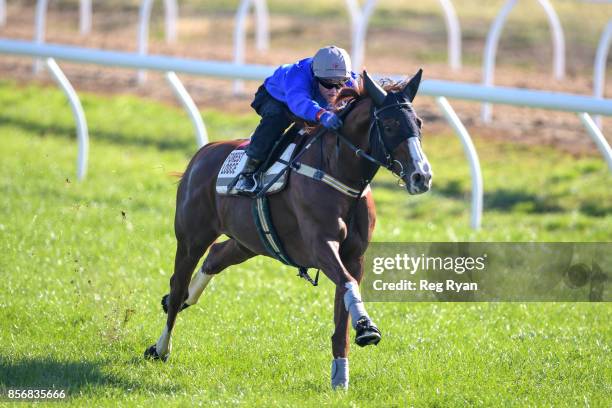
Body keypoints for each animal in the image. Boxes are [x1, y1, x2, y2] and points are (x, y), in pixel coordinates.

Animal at [144, 70, 432, 388]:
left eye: (419, 123)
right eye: (391, 125)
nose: (421, 176)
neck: (336, 171)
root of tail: (202, 154)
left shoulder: (354, 257)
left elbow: (344, 307)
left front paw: (340, 376)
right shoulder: (321, 245)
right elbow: (346, 283)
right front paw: (367, 326)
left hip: (248, 241)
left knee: (215, 257)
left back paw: (183, 302)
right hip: (192, 237)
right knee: (178, 283)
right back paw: (161, 347)